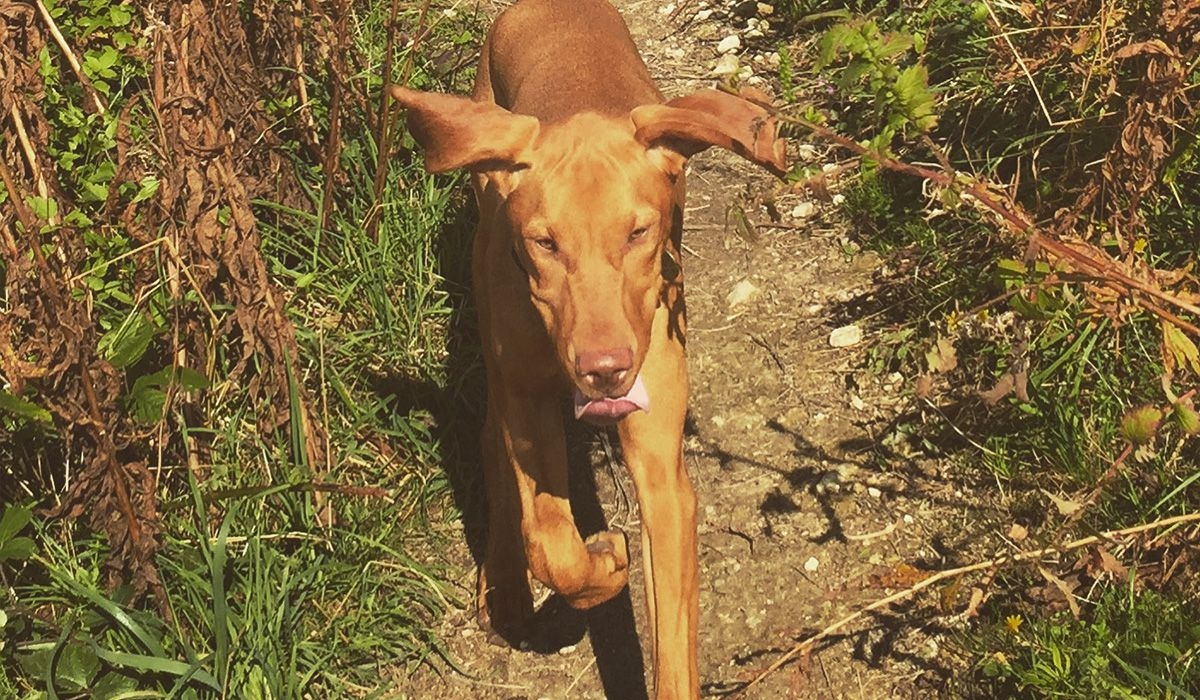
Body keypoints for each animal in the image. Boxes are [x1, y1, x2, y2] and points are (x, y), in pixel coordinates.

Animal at [393, 2, 787, 696]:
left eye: (638, 232)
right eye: (545, 243)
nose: (604, 369)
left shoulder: (660, 466)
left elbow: (671, 640)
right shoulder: (530, 407)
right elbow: (553, 546)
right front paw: (604, 558)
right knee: (495, 442)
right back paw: (506, 584)